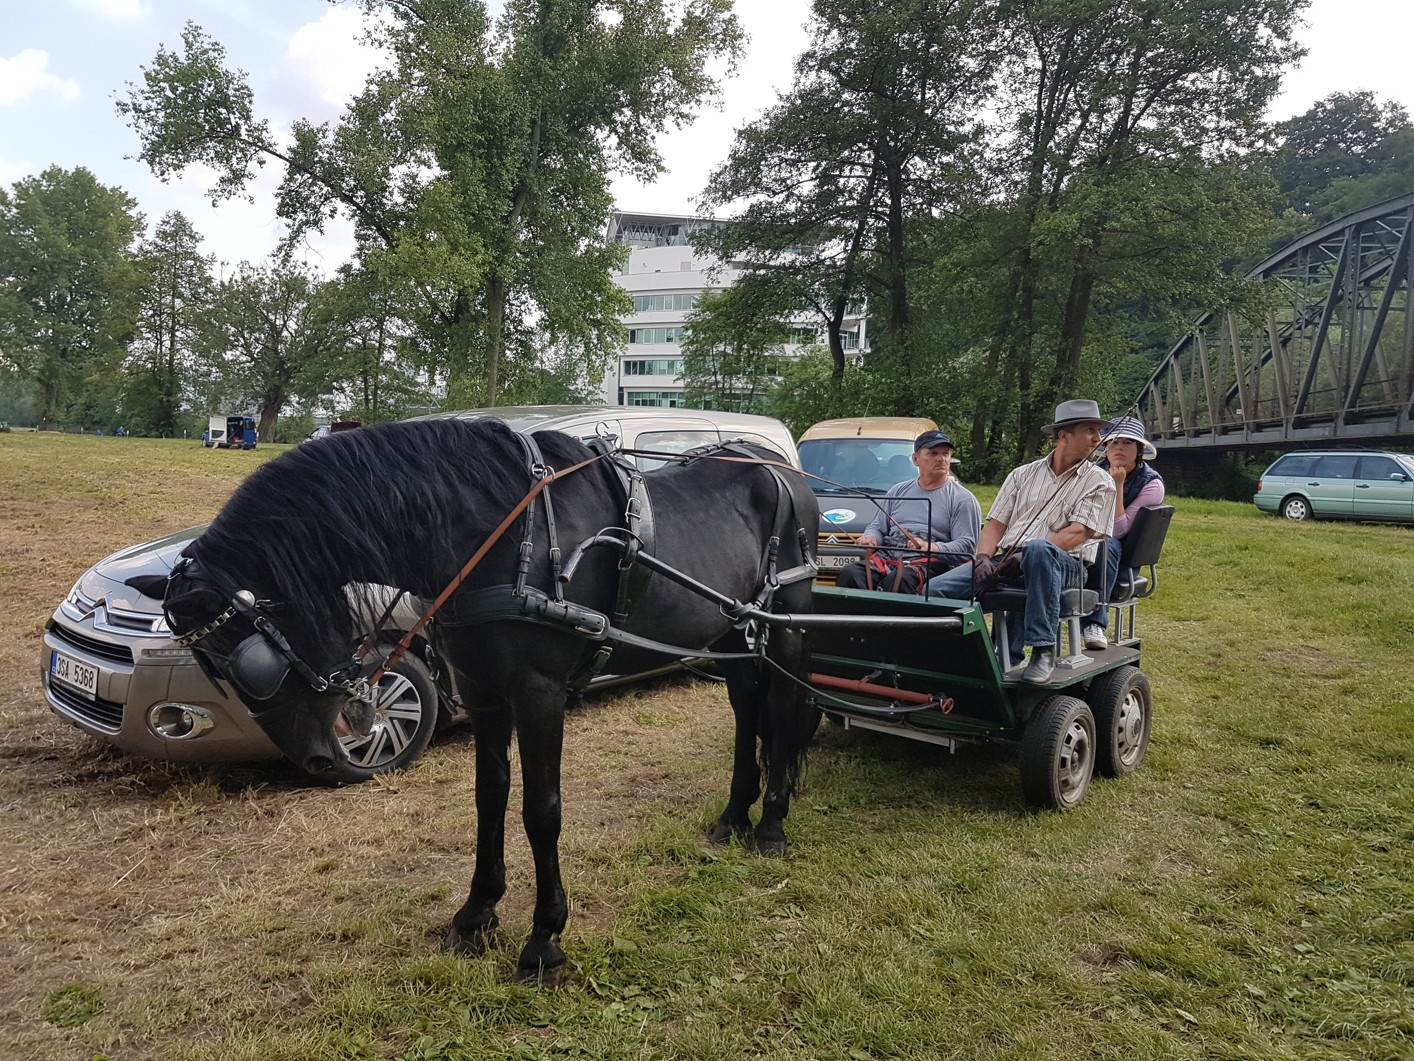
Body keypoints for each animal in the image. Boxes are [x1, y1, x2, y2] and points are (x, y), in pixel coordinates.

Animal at [149, 416, 821, 984]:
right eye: (214, 669)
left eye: (247, 661)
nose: (315, 756)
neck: (495, 534)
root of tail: (779, 467)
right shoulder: (484, 694)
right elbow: (489, 798)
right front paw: (476, 914)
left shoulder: (539, 693)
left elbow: (541, 810)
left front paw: (544, 940)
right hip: (733, 632)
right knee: (746, 708)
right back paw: (735, 814)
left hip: (787, 626)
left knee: (785, 710)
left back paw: (771, 825)